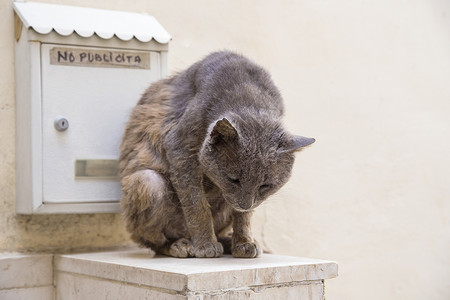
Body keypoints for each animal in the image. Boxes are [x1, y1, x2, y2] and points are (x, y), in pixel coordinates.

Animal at [118, 51, 312, 258]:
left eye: (265, 185)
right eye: (233, 179)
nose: (245, 203)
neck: (249, 94)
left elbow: (244, 217)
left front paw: (244, 242)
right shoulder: (179, 148)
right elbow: (197, 205)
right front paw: (206, 245)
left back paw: (229, 242)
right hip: (147, 182)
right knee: (153, 241)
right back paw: (180, 245)